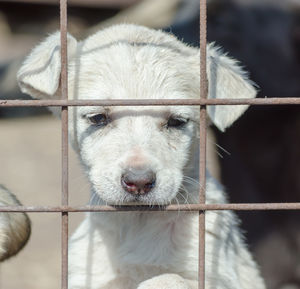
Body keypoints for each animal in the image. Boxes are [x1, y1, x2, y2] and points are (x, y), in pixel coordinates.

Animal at [17, 24, 264, 288]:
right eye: (98, 118)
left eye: (177, 121)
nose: (139, 182)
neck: (138, 220)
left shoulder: (219, 272)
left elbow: (170, 277)